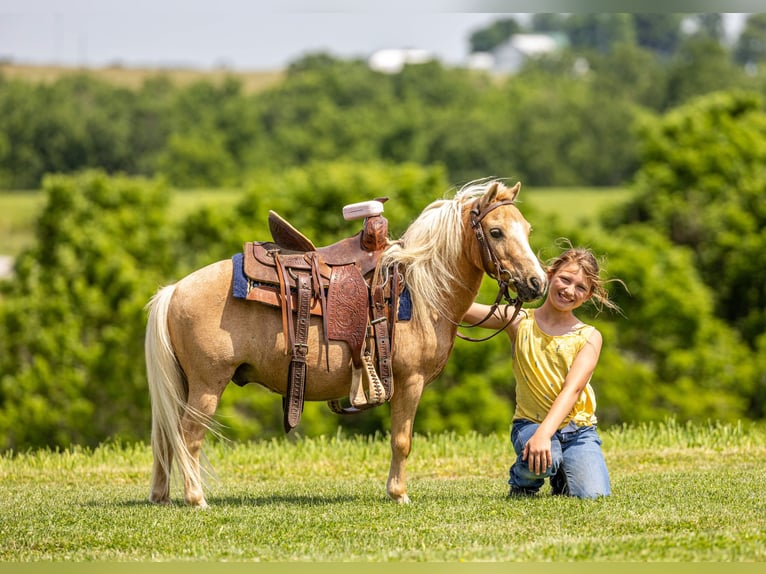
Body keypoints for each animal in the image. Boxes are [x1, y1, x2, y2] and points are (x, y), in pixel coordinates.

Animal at [145, 179, 547, 507]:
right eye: (496, 232)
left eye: (528, 229)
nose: (537, 282)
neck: (422, 290)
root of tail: (174, 289)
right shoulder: (410, 382)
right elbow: (402, 440)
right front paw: (398, 494)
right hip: (207, 385)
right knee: (188, 436)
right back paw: (196, 498)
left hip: (185, 384)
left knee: (165, 435)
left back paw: (161, 495)